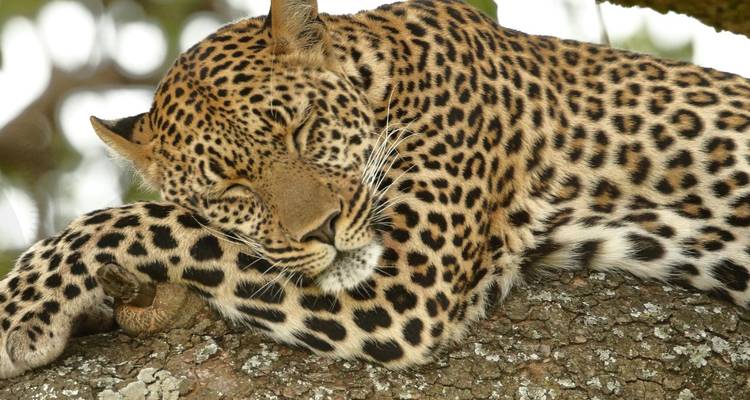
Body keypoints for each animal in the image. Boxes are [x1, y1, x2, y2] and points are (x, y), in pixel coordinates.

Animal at [1, 0, 750, 379]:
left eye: (301, 129)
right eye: (233, 185)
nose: (323, 231)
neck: (389, 69)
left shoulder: (404, 289)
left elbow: (148, 220)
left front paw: (19, 306)